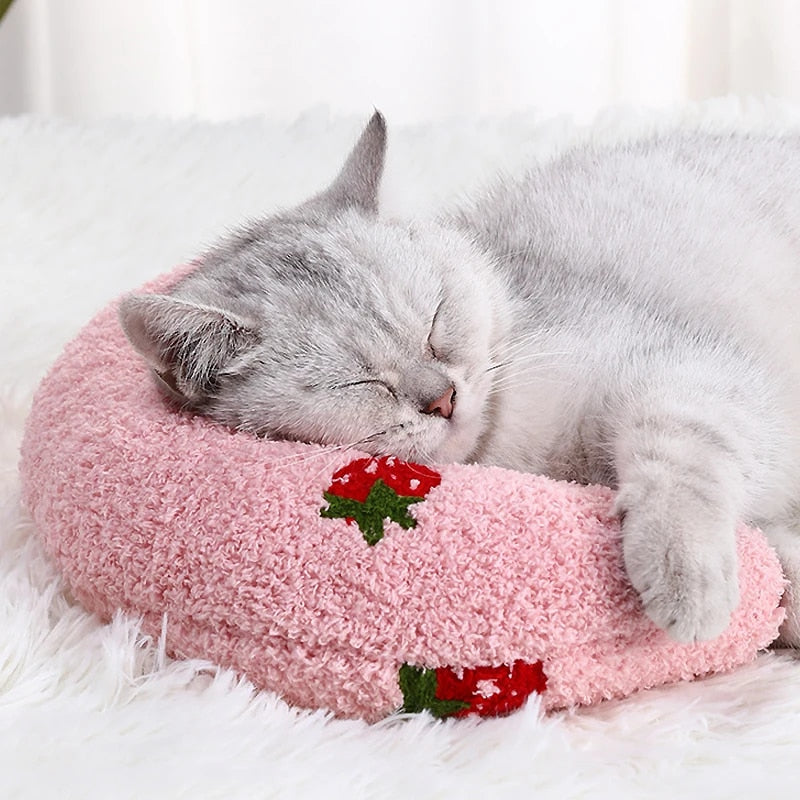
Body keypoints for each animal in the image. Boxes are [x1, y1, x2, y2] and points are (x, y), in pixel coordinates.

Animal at [117, 112, 800, 648]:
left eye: (436, 323)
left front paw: (685, 572)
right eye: (361, 384)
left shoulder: (689, 369)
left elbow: (681, 457)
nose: (442, 397)